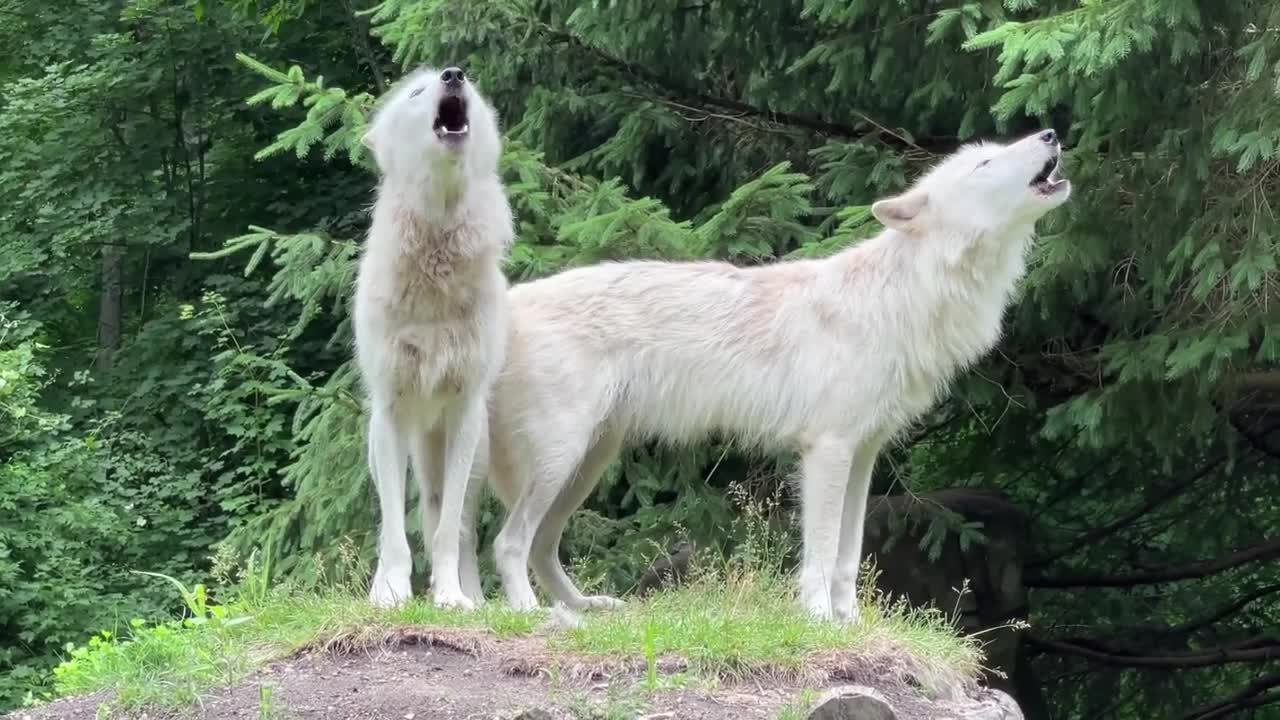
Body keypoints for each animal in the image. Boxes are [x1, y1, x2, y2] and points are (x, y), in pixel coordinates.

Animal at [481, 127, 1070, 617]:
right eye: (985, 162)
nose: (1050, 133)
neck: (904, 297)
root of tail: (512, 301)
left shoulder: (863, 453)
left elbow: (848, 556)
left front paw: (851, 624)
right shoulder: (827, 450)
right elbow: (822, 552)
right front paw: (819, 622)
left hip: (588, 462)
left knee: (541, 545)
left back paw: (583, 607)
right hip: (562, 459)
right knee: (509, 542)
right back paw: (527, 612)